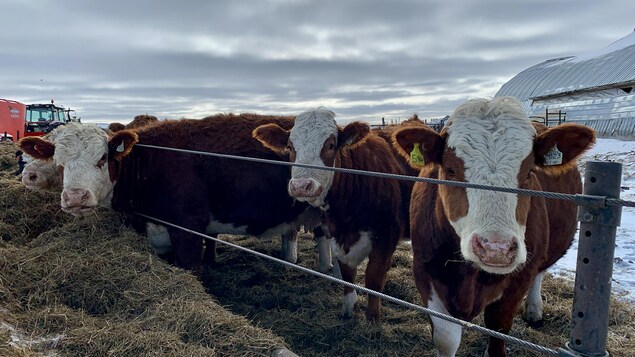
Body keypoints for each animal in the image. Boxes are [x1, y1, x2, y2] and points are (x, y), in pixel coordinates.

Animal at [253, 107, 408, 322]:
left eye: (331, 145)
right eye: (290, 147)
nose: (301, 186)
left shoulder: (386, 236)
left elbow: (374, 278)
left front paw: (372, 319)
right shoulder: (336, 233)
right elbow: (347, 274)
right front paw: (348, 309)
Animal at [388, 95, 596, 356]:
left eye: (529, 171)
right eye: (451, 170)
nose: (495, 248)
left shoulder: (518, 279)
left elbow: (498, 328)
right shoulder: (425, 271)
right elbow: (446, 338)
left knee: (541, 271)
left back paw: (534, 310)